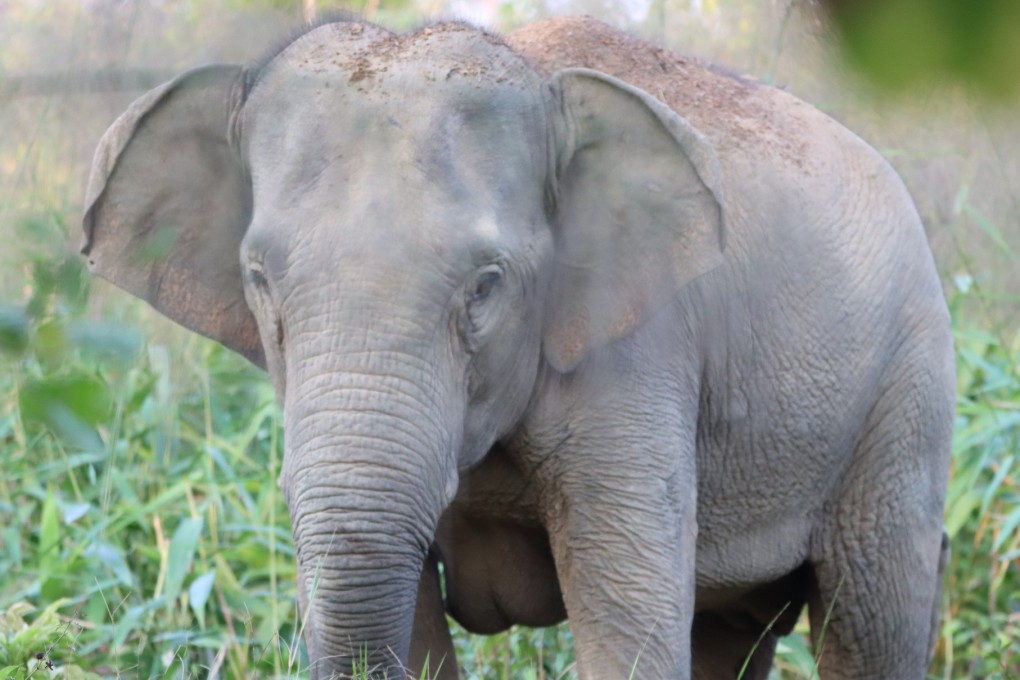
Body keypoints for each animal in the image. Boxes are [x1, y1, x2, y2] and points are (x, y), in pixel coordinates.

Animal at [81, 14, 954, 680]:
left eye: (485, 285)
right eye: (258, 277)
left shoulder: (639, 354)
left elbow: (628, 617)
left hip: (904, 400)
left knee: (873, 617)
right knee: (730, 633)